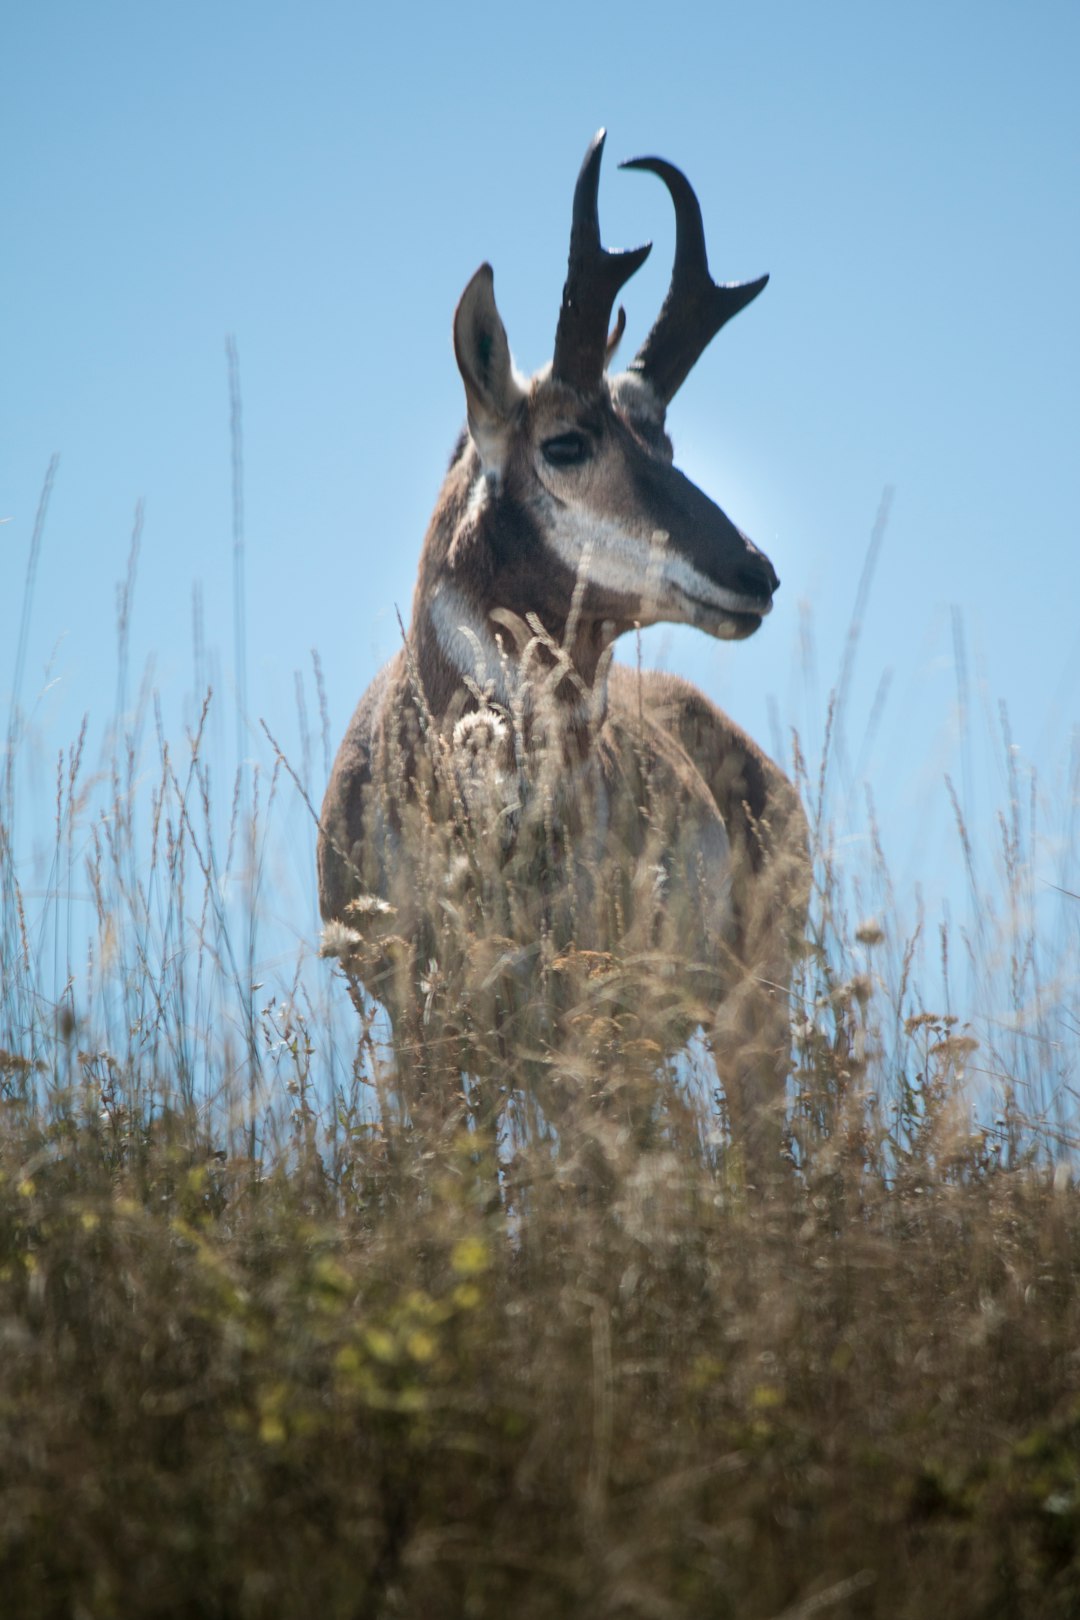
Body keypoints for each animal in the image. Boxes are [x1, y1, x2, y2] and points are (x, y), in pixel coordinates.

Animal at [320, 126, 809, 1166]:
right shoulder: (423, 1032)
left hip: (746, 1011)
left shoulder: (583, 1031)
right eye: (568, 442)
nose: (755, 571)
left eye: (665, 441)